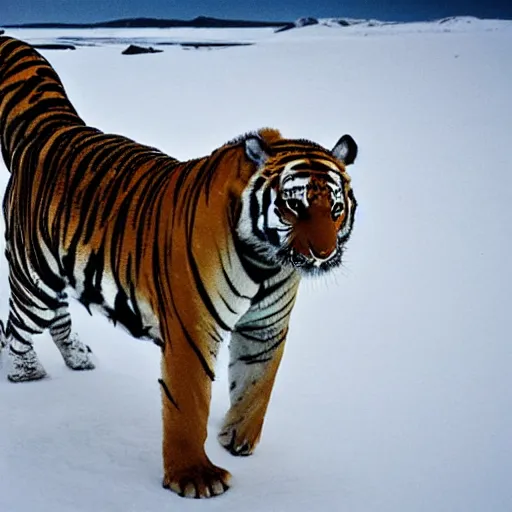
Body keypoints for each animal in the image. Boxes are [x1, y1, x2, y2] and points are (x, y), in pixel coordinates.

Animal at [0, 37, 358, 500]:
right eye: (293, 205)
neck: (267, 263)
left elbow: (257, 385)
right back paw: (26, 374)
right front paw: (194, 477)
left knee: (56, 315)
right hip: (35, 276)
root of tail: (53, 127)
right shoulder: (193, 328)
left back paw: (79, 358)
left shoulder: (266, 327)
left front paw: (237, 439)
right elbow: (188, 403)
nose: (322, 253)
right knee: (18, 327)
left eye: (335, 208)